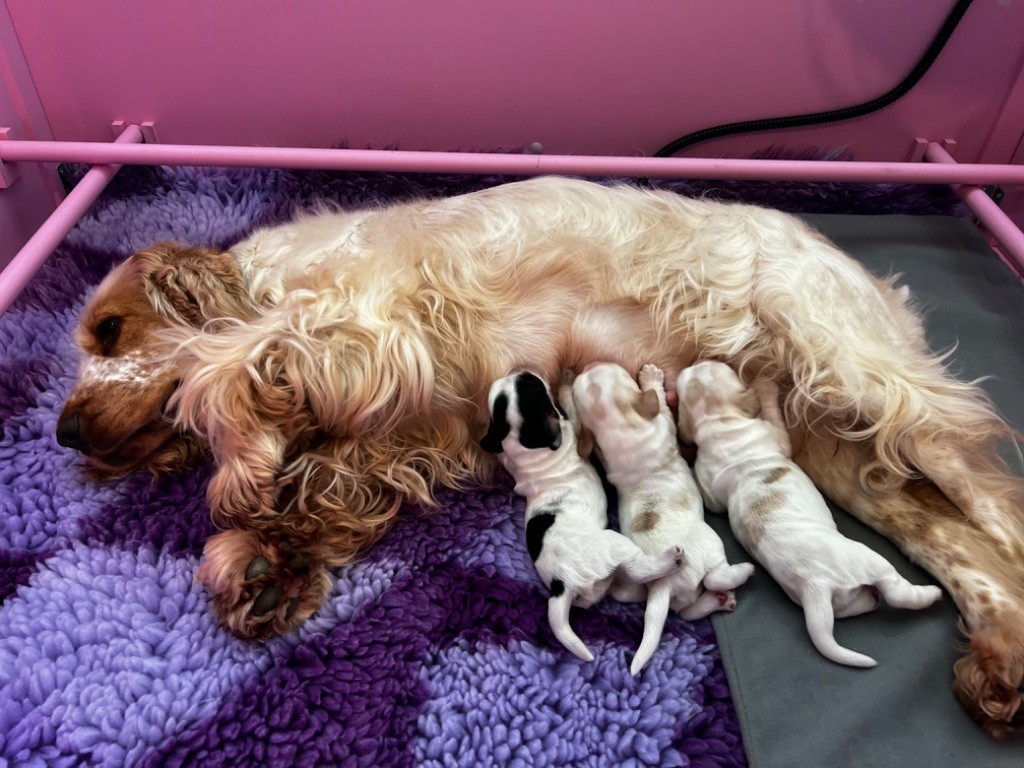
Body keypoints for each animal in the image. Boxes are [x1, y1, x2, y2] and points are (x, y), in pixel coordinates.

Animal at [481, 370, 688, 663]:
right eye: (533, 385)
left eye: (518, 383)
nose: (520, 370)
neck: (525, 444)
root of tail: (562, 585)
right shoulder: (574, 431)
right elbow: (573, 412)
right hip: (614, 543)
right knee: (638, 570)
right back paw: (671, 559)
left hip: (605, 584)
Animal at [573, 362, 757, 671]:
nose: (588, 364)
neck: (621, 429)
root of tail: (663, 584)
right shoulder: (664, 422)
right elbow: (660, 402)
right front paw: (652, 377)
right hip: (710, 543)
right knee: (715, 577)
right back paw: (742, 572)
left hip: (676, 596)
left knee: (687, 613)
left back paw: (719, 601)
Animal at [679, 360, 942, 667]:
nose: (700, 360)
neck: (716, 423)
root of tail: (815, 586)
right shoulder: (773, 434)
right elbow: (773, 416)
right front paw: (766, 386)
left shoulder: (710, 484)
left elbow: (712, 499)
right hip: (870, 560)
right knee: (897, 591)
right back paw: (930, 594)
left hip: (844, 601)